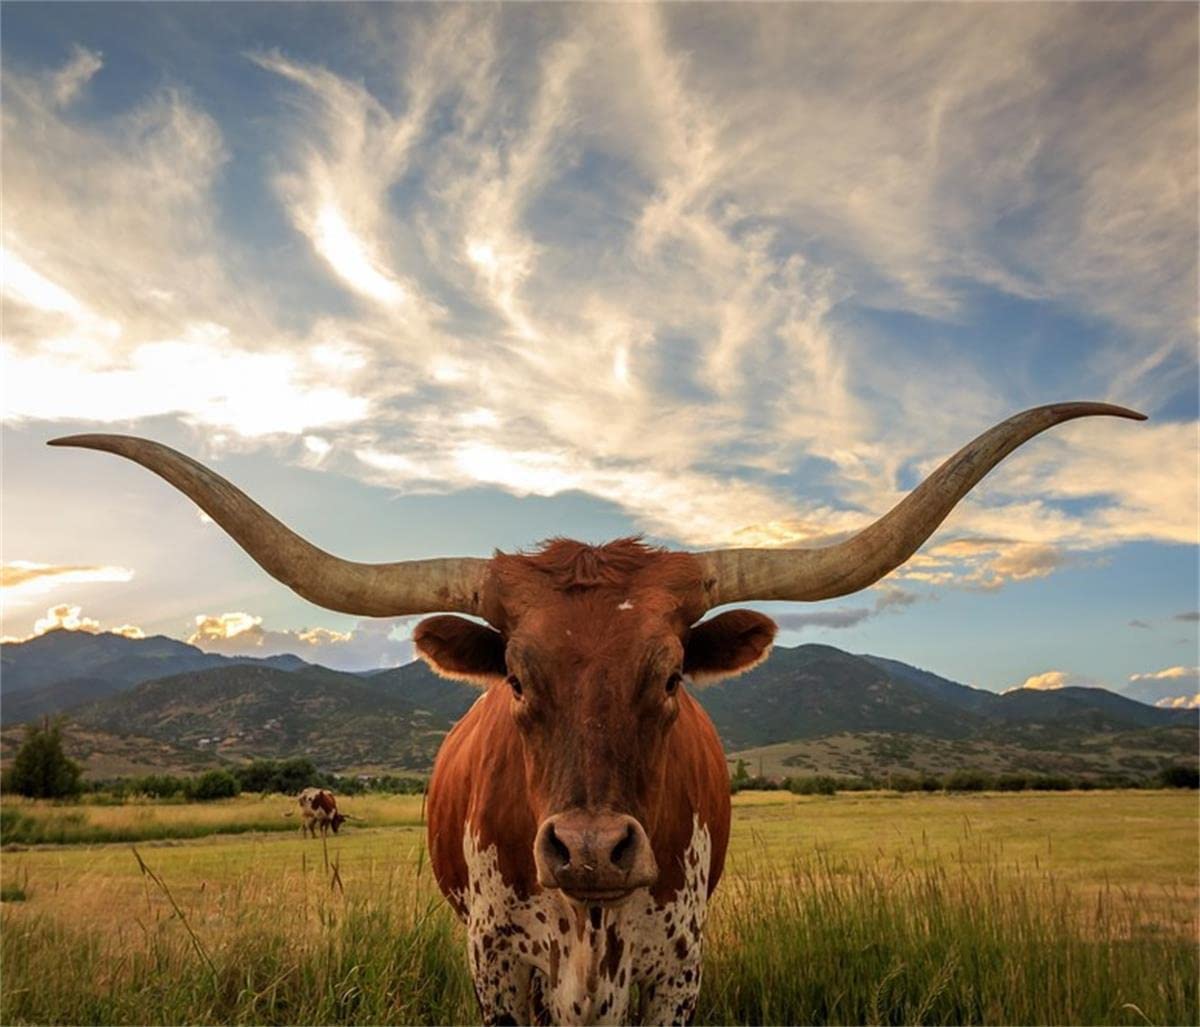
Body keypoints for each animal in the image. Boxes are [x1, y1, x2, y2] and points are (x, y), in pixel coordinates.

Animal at [49, 402, 1142, 1025]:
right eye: (517, 677)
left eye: (669, 674)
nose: (588, 848)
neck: (590, 919)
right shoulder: (497, 974)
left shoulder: (677, 975)